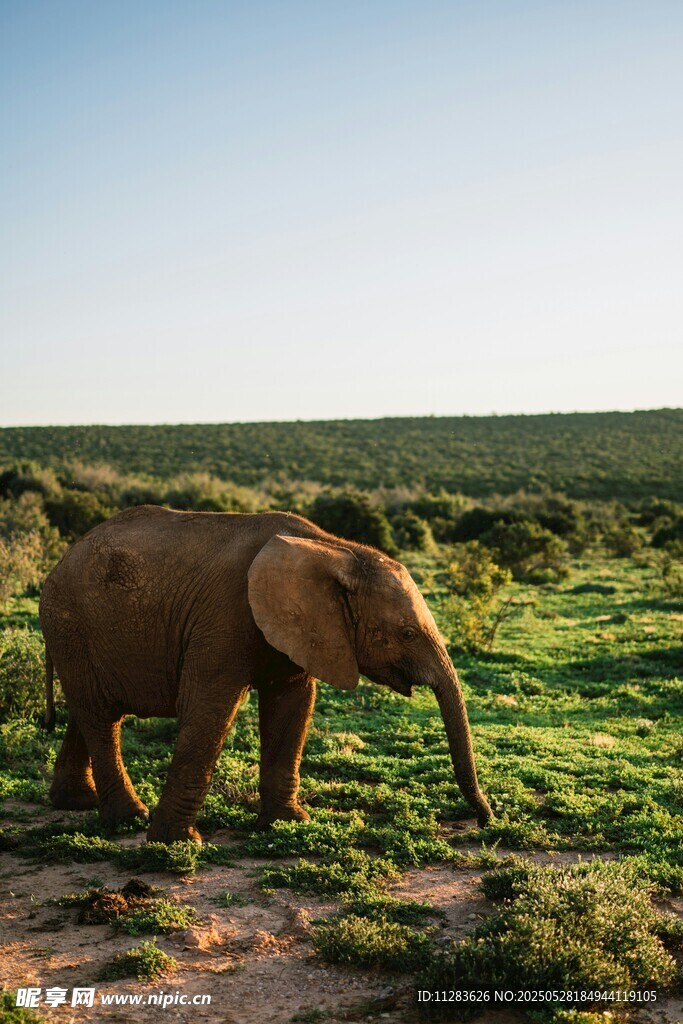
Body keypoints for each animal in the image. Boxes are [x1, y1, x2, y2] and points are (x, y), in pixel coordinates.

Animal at [40, 505, 492, 844]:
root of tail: (57, 565)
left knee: (89, 711)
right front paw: (178, 842)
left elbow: (292, 705)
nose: (486, 819)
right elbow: (209, 708)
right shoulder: (224, 618)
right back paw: (129, 819)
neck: (338, 551)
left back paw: (76, 803)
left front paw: (289, 824)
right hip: (70, 624)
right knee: (101, 716)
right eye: (408, 633)